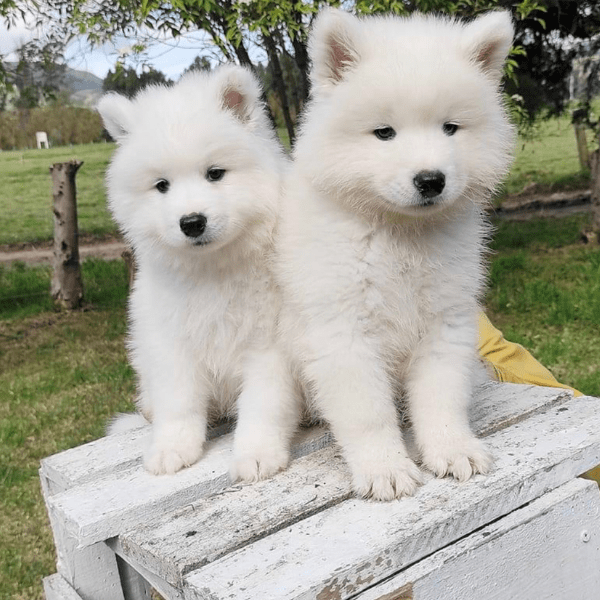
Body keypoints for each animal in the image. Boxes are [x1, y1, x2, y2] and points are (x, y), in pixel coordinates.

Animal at [98, 65, 300, 480]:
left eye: (215, 174)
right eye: (161, 185)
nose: (191, 222)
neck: (212, 271)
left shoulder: (268, 348)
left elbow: (263, 406)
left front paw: (257, 454)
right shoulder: (172, 343)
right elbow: (179, 403)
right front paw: (171, 449)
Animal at [276, 9, 516, 500]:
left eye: (450, 128)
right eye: (384, 133)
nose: (431, 180)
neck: (400, 235)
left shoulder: (445, 319)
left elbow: (441, 397)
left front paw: (453, 449)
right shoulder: (343, 331)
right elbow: (368, 413)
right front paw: (385, 469)